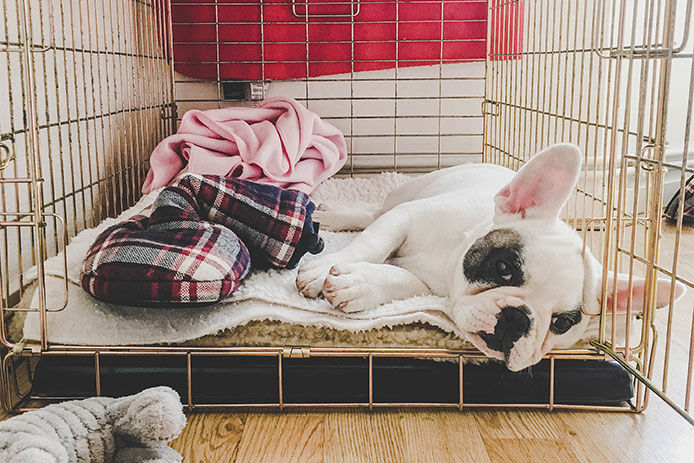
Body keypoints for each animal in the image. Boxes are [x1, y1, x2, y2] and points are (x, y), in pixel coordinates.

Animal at [296, 143, 688, 372]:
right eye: (503, 268)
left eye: (562, 323)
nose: (517, 319)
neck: (449, 261)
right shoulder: (404, 218)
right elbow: (371, 243)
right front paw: (321, 271)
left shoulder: (427, 285)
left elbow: (400, 280)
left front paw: (359, 285)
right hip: (404, 195)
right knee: (372, 215)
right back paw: (337, 215)